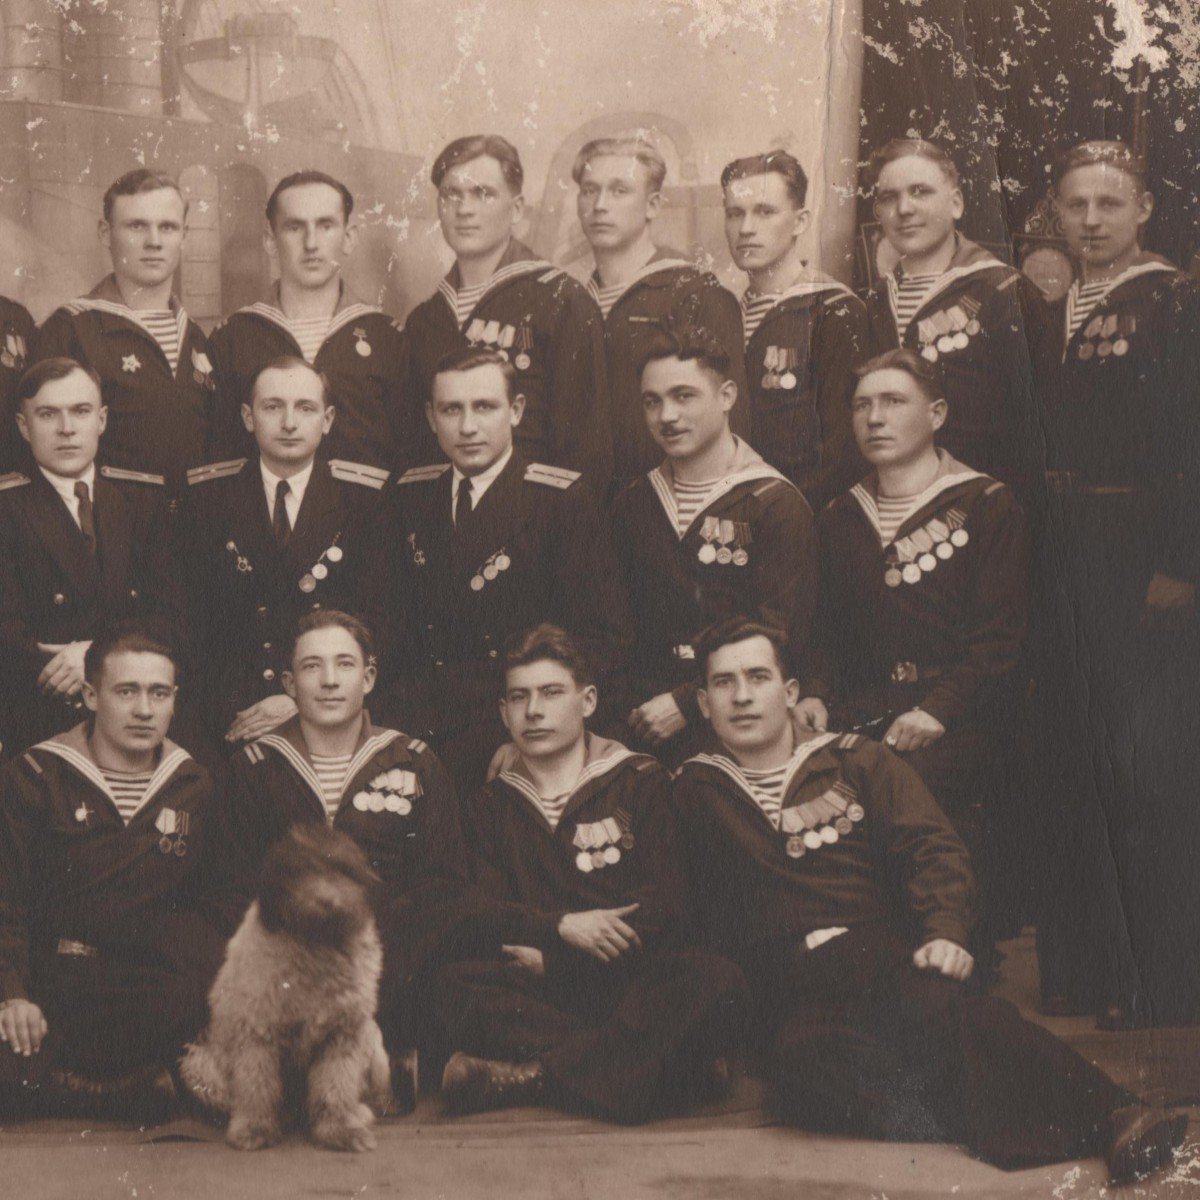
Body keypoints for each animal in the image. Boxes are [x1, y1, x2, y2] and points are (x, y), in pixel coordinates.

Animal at [180, 825, 393, 1152]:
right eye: (300, 869)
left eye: (343, 870)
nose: (327, 901)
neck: (315, 947)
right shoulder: (257, 1036)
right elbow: (258, 1087)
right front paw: (255, 1128)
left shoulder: (342, 1035)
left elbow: (335, 1086)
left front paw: (339, 1129)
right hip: (200, 1065)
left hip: (372, 1042)